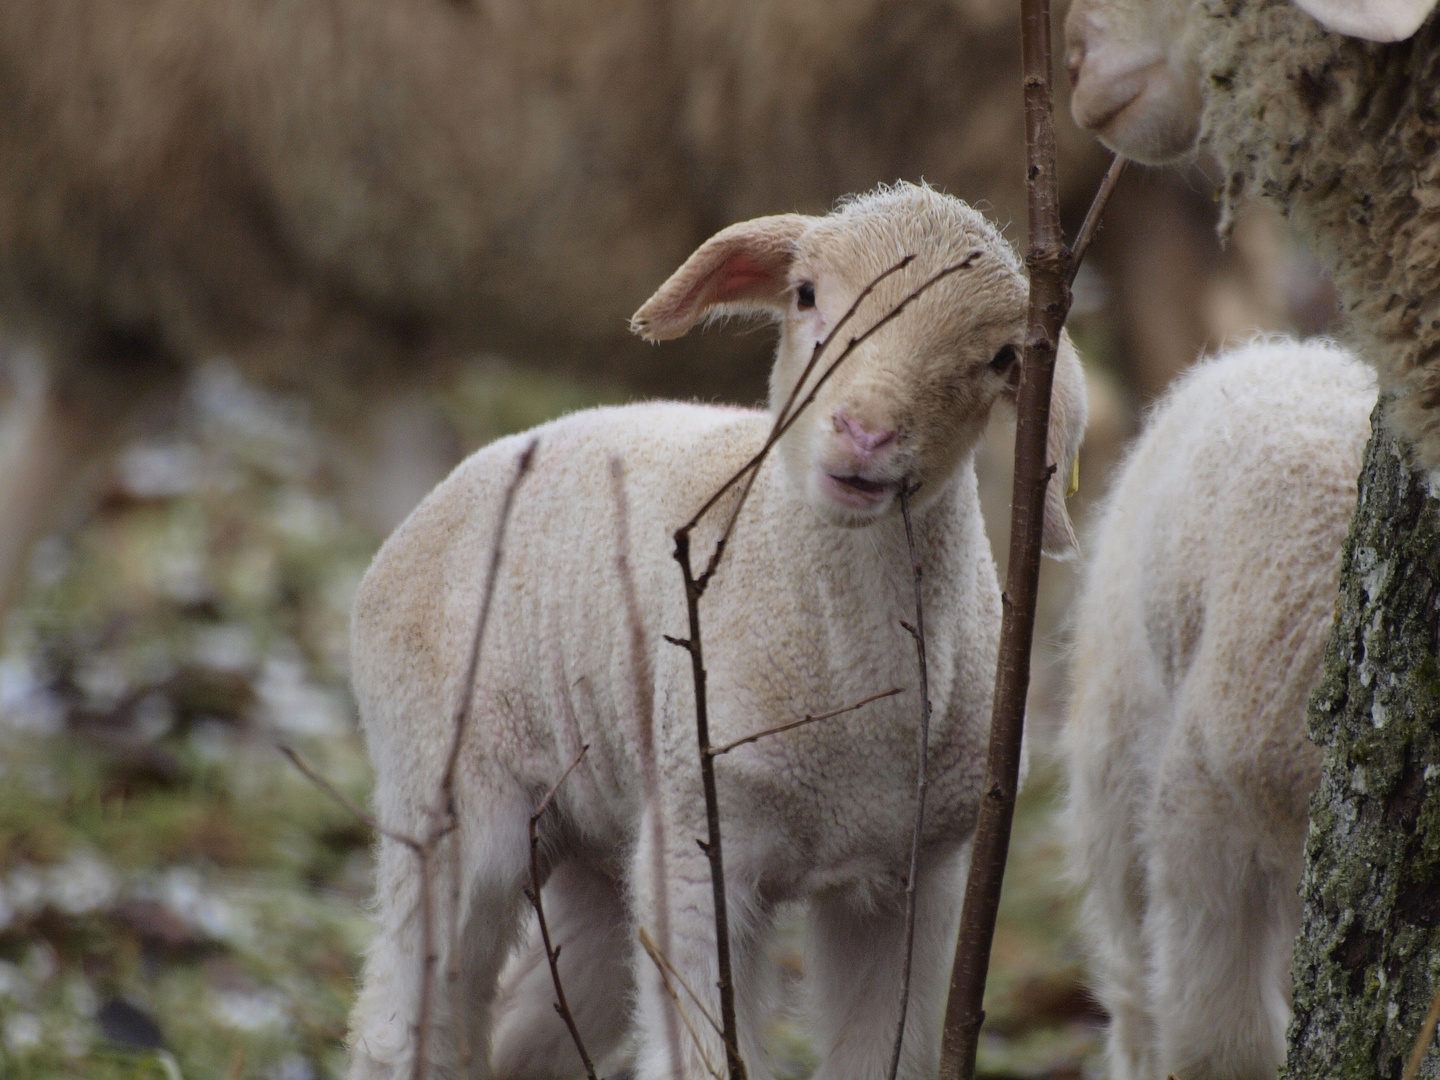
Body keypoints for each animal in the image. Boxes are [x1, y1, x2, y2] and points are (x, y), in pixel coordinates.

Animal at [342, 185, 1082, 1080]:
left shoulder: (916, 878)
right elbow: (701, 1056)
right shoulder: (699, 843)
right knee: (403, 1013)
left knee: (536, 1023)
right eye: (805, 294)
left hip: (604, 838)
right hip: (445, 784)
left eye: (1003, 359)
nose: (866, 434)